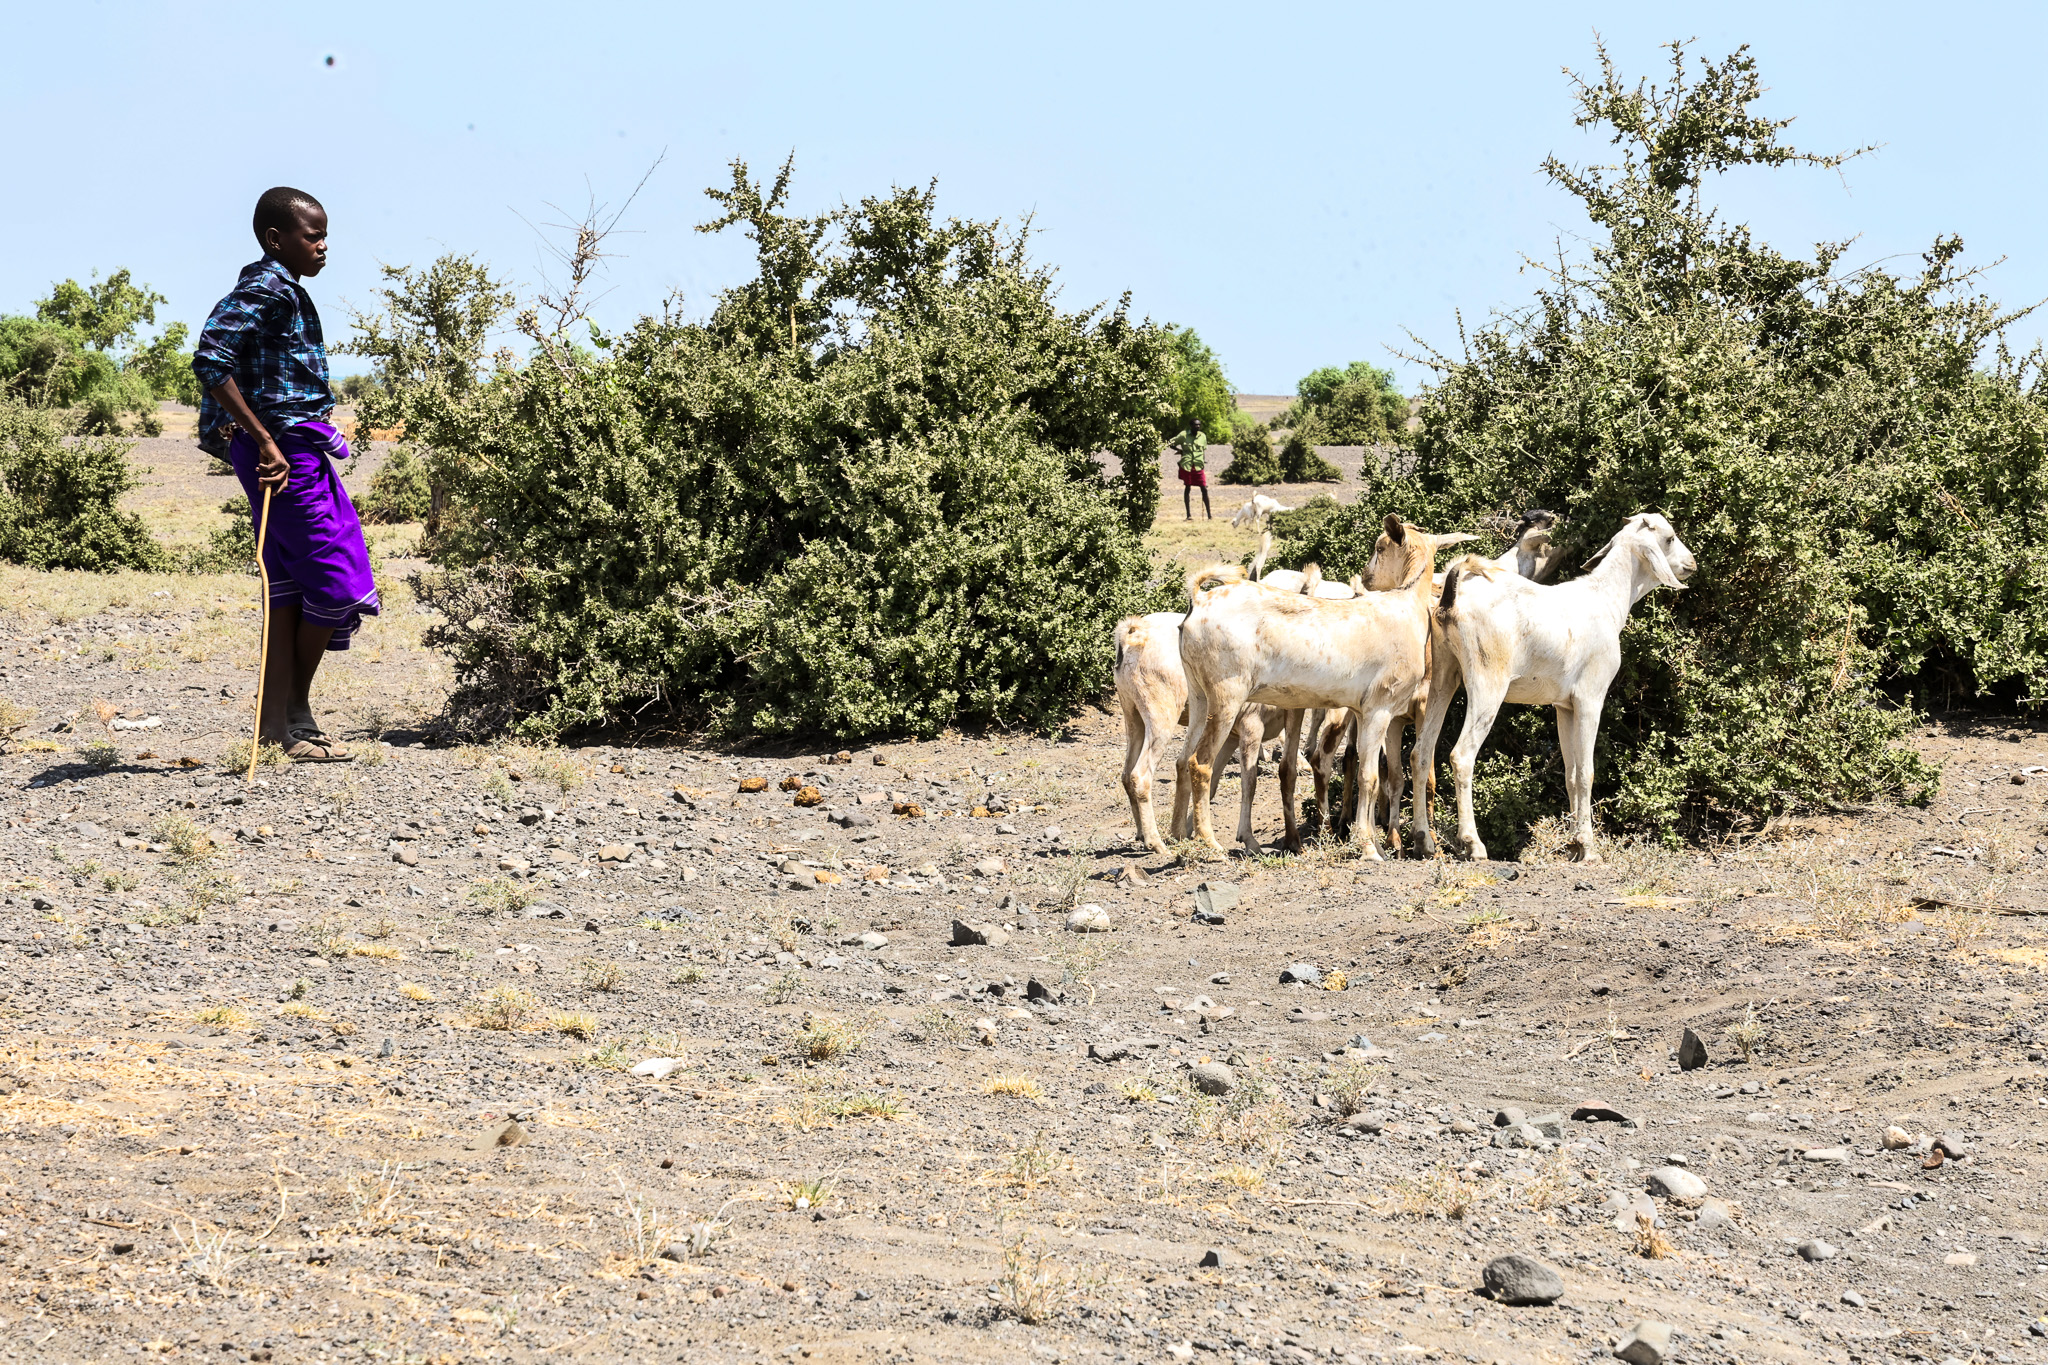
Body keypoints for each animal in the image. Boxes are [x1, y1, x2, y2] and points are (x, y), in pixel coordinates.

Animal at [1417, 511, 1703, 863]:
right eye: (1670, 538)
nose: (1691, 564)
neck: (1606, 600)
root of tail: (1452, 597)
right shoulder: (1590, 697)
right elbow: (1587, 772)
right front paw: (1588, 848)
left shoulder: (1564, 706)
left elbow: (1570, 773)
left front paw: (1574, 844)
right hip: (1487, 682)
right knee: (1461, 755)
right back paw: (1473, 844)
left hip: (1443, 675)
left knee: (1420, 752)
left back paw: (1423, 841)